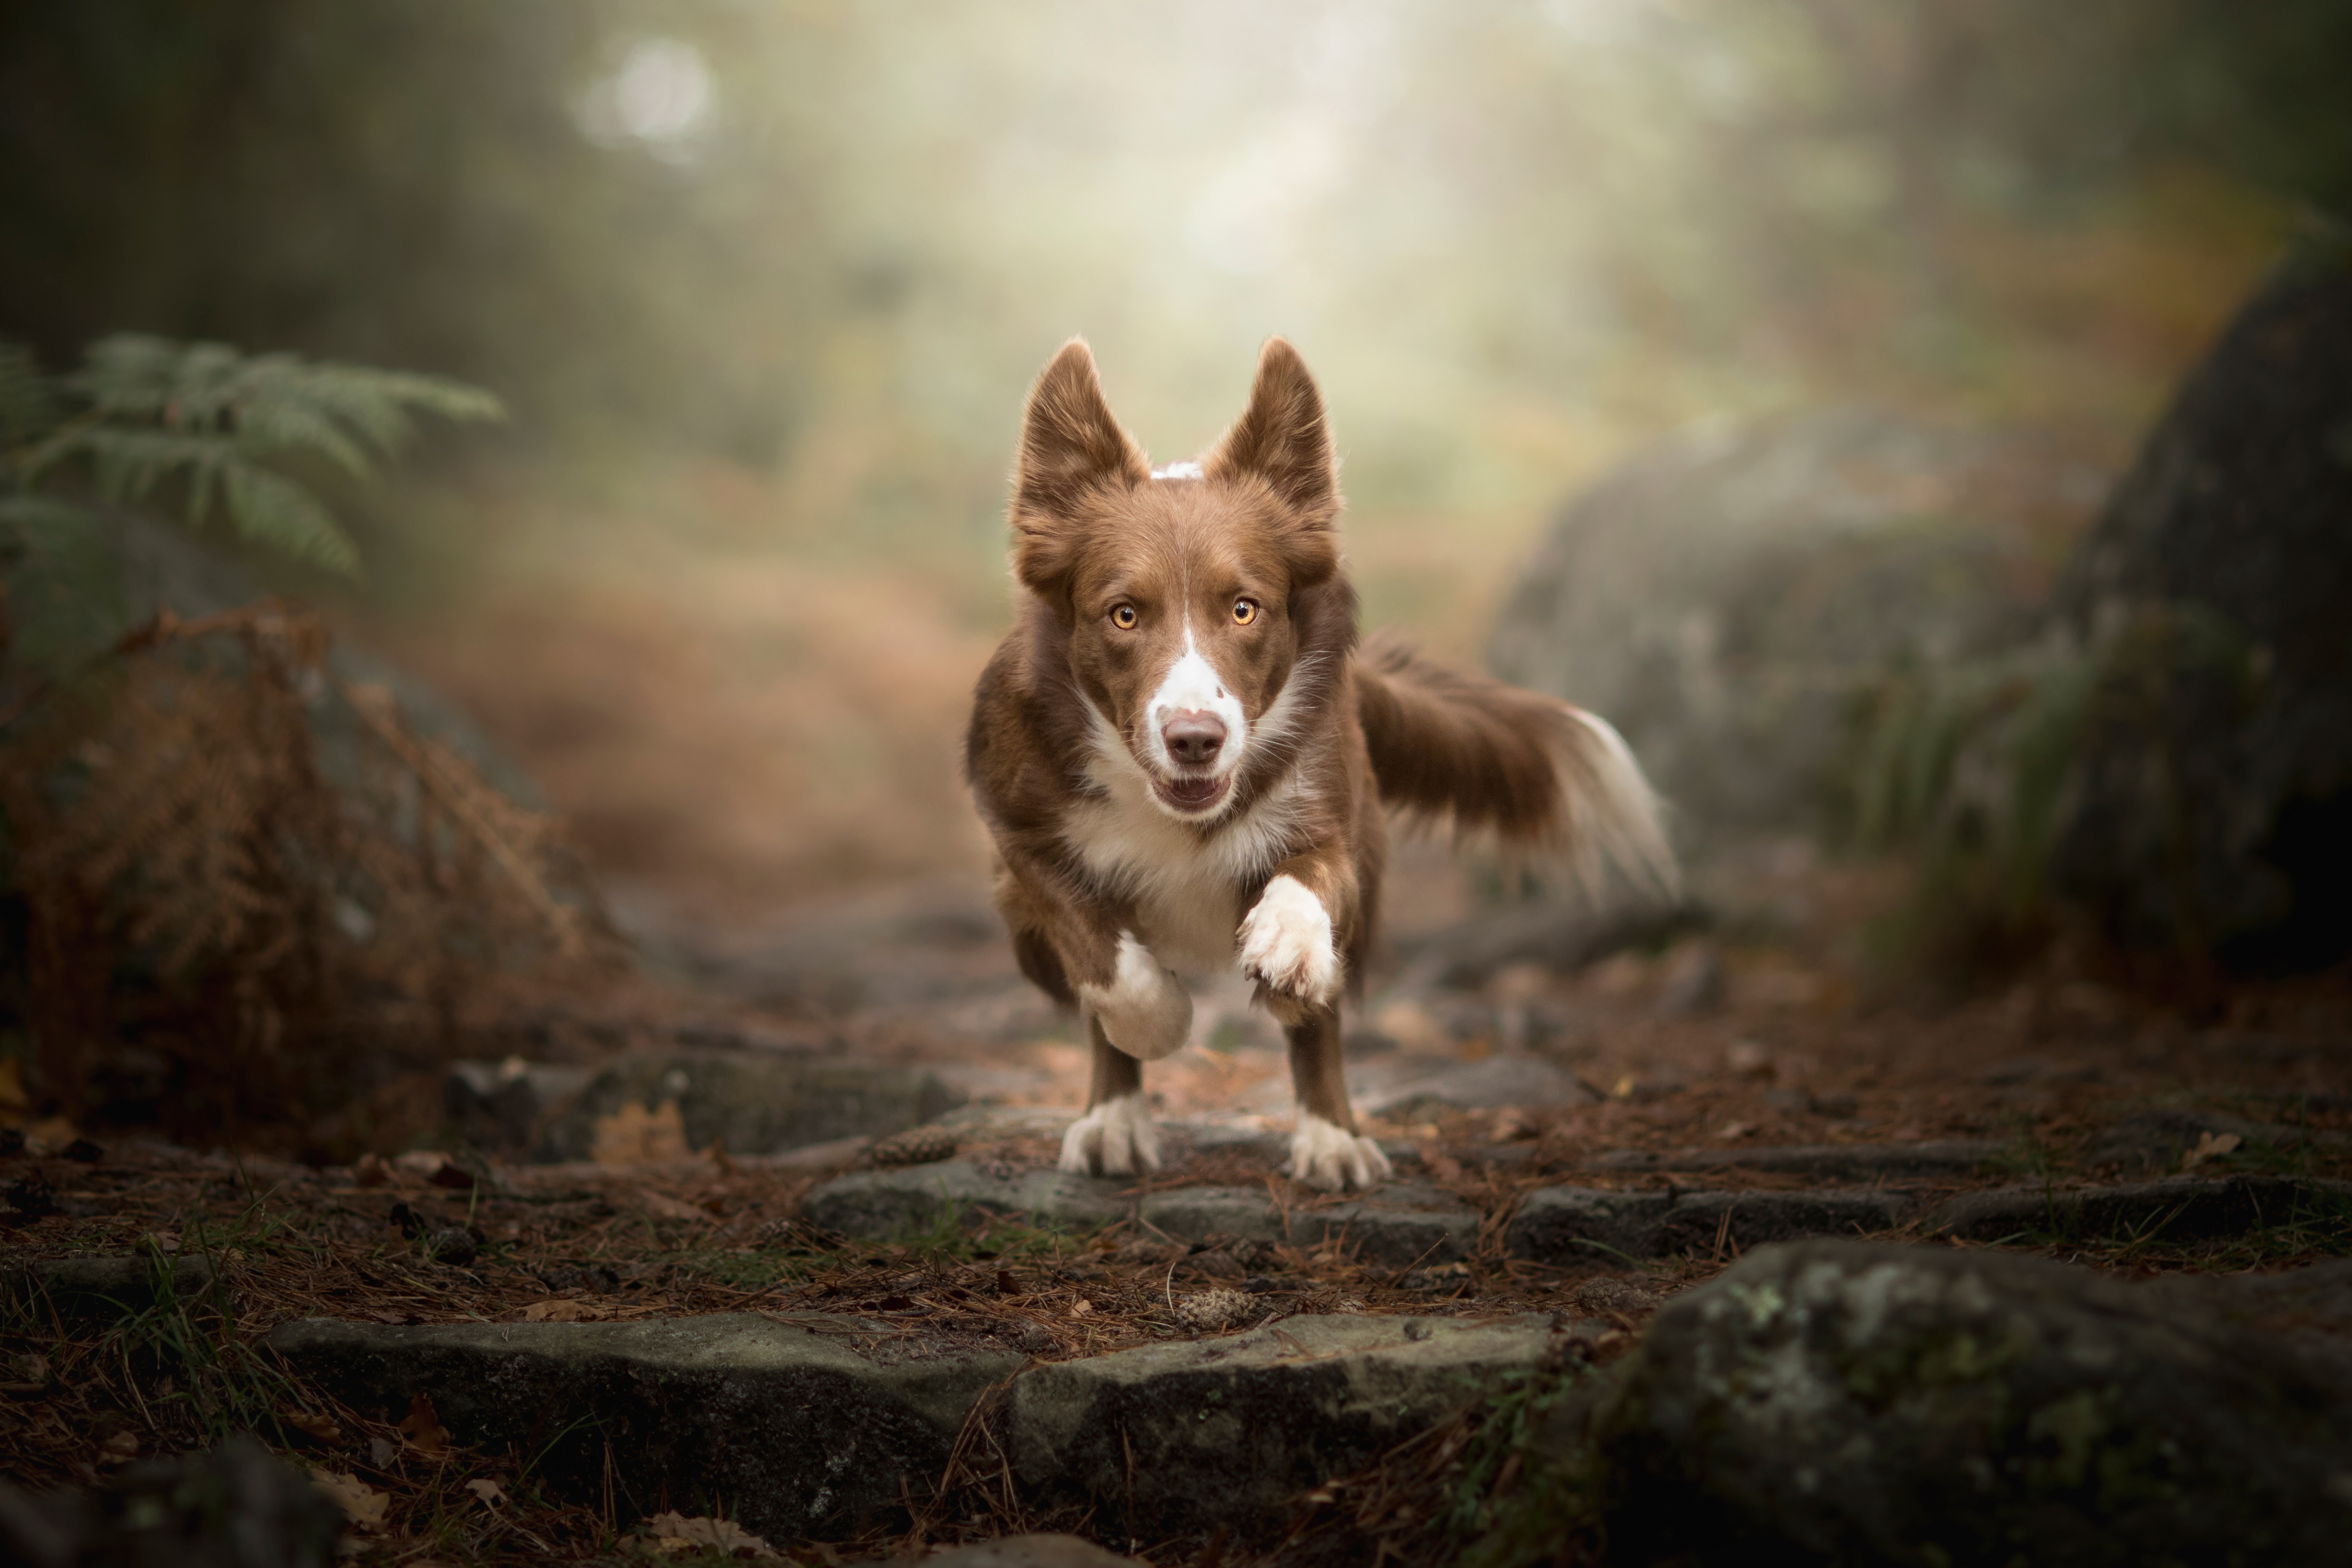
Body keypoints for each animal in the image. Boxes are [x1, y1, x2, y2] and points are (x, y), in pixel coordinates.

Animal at [964, 341, 1684, 1189]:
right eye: (1125, 615)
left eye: (1244, 608)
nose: (1196, 739)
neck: (1177, 814)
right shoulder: (1020, 835)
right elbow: (1102, 955)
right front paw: (1160, 1019)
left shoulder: (1334, 820)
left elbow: (1309, 882)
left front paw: (1289, 945)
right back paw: (1115, 1119)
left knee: (1320, 1022)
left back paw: (1330, 1133)